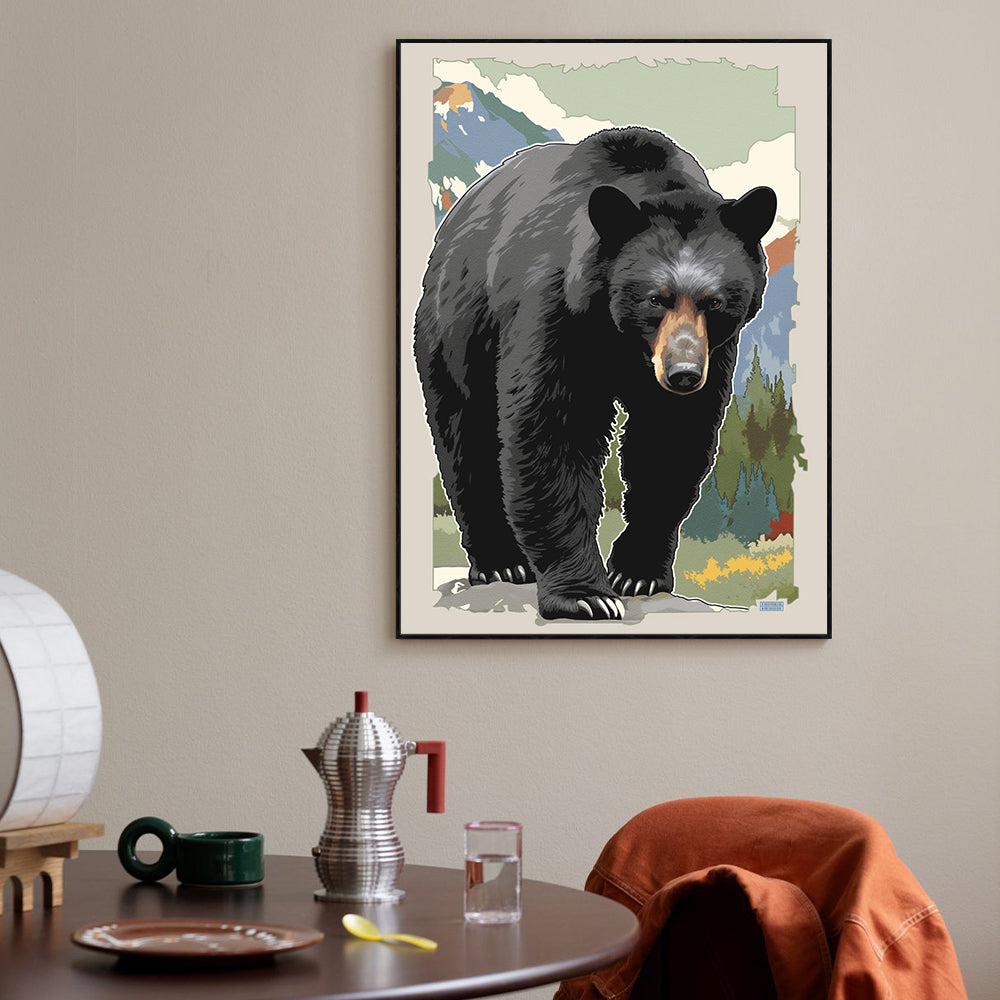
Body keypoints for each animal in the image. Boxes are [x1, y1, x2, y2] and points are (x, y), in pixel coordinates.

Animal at [413, 127, 776, 621]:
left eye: (714, 302)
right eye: (655, 298)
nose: (682, 374)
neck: (621, 338)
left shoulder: (715, 351)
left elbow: (671, 438)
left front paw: (637, 572)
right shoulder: (557, 315)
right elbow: (553, 430)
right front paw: (585, 594)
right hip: (456, 333)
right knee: (465, 434)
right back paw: (501, 563)